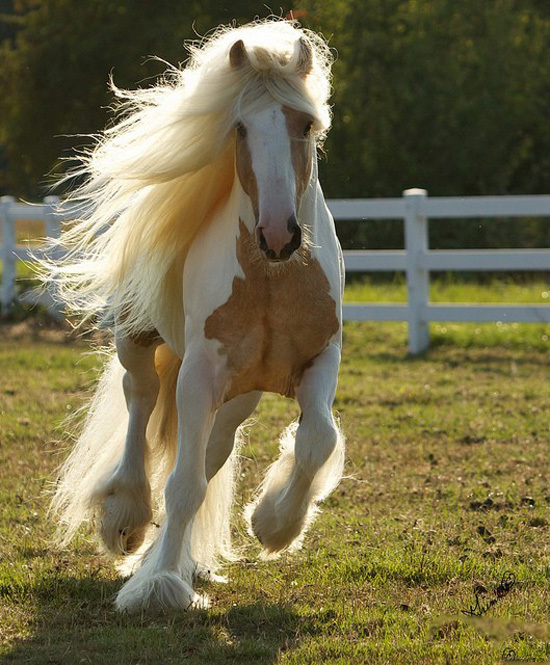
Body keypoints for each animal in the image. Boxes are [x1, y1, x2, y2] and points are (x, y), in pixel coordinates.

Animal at [44, 19, 345, 613]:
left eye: (305, 123)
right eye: (240, 127)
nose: (278, 235)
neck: (272, 280)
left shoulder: (321, 359)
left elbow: (317, 439)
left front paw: (274, 524)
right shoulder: (201, 371)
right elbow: (182, 484)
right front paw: (158, 585)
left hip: (238, 395)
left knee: (212, 450)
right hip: (140, 342)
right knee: (140, 401)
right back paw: (127, 519)